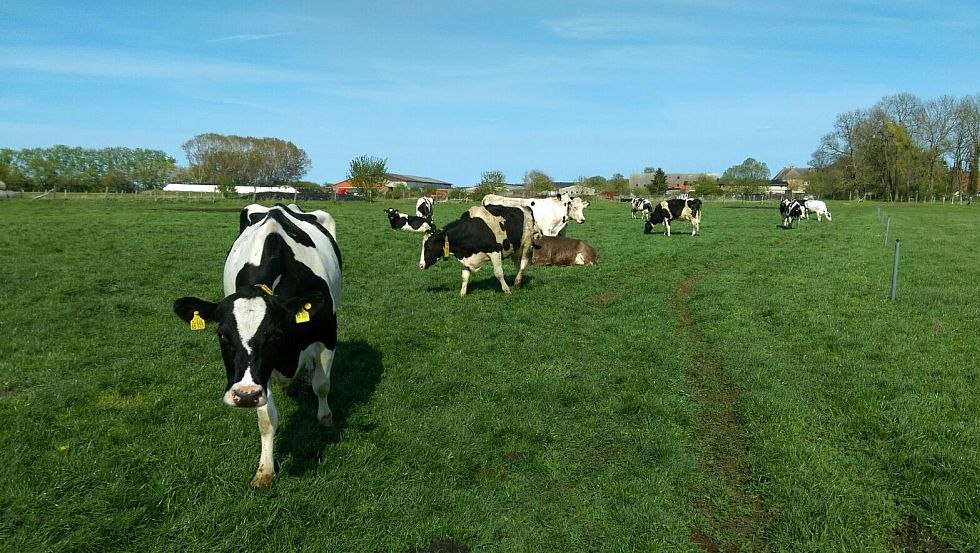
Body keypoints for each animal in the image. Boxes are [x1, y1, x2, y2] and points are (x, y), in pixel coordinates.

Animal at [174, 203, 342, 488]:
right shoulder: (260, 374)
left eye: (274, 335)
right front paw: (265, 471)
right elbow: (266, 419)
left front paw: (325, 417)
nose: (244, 396)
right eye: (222, 336)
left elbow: (322, 384)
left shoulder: (328, 333)